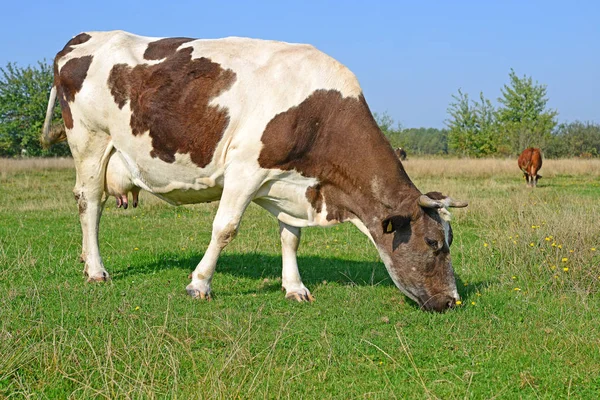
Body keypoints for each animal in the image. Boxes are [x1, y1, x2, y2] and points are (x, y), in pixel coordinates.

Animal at [41, 31, 468, 312]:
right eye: (434, 243)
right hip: (90, 140)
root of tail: (86, 36)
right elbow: (225, 228)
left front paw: (294, 287)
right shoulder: (245, 169)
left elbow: (291, 237)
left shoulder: (289, 181)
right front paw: (199, 284)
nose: (452, 301)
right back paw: (96, 269)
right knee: (89, 203)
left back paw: (85, 260)